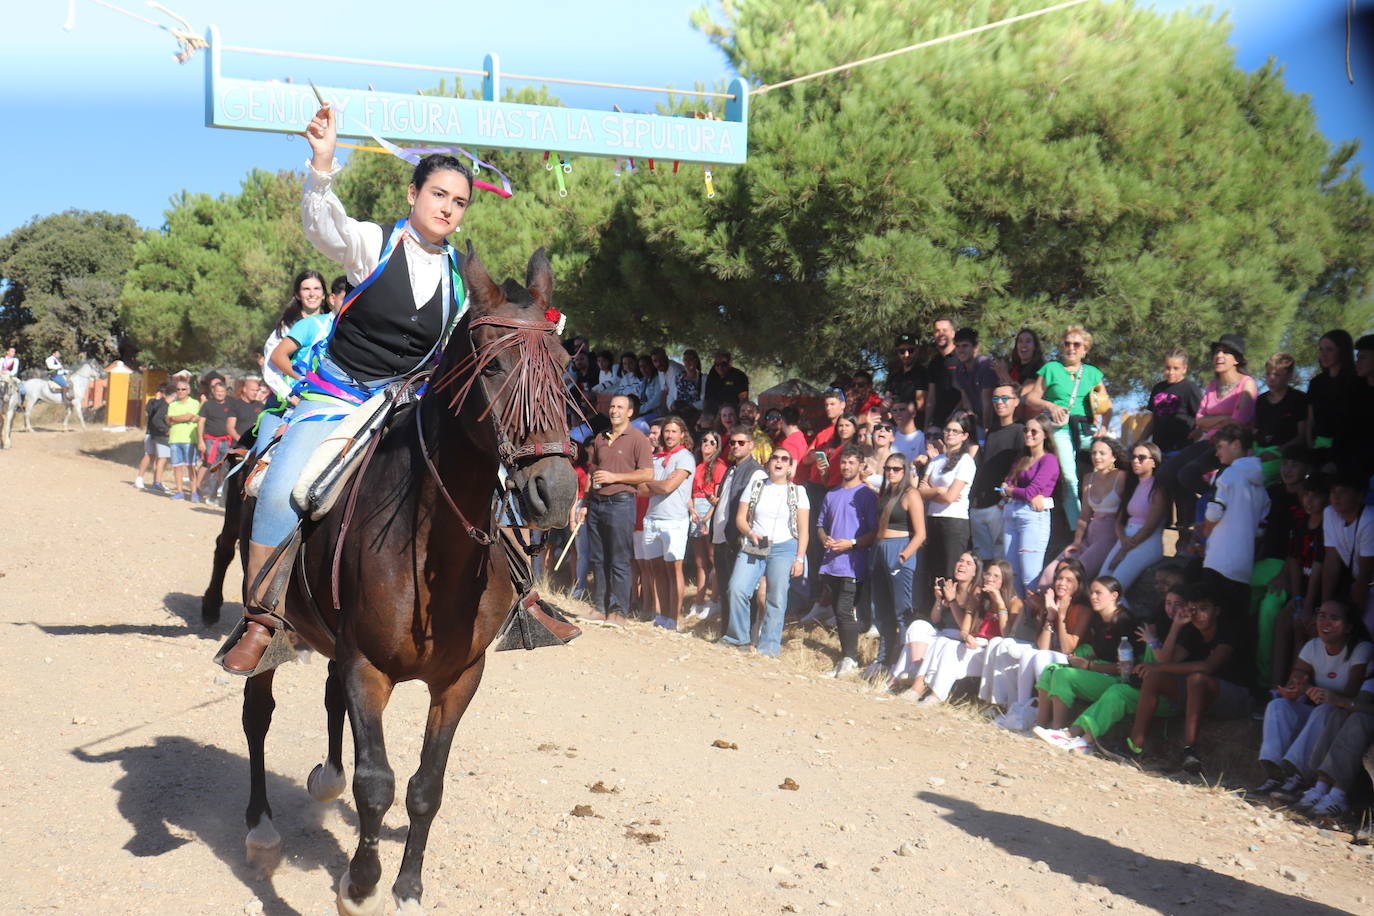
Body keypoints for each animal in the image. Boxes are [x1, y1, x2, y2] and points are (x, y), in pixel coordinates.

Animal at [237, 245, 579, 916]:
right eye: (493, 368)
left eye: (563, 371)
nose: (552, 492)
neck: (431, 553)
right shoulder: (368, 666)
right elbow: (377, 783)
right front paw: (360, 885)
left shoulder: (459, 678)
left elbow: (426, 785)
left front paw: (408, 885)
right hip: (271, 624)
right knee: (257, 712)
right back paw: (261, 829)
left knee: (328, 698)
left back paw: (324, 777)